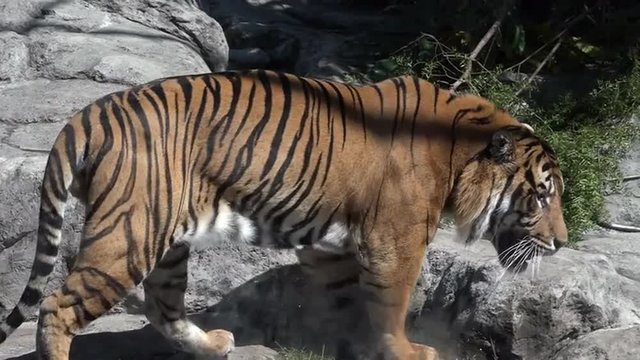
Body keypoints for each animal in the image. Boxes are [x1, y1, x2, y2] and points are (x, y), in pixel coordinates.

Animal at [0, 69, 568, 358]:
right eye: (542, 196)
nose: (562, 241)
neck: (459, 154)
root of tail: (88, 114)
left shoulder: (331, 247)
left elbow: (351, 303)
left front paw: (348, 345)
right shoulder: (396, 240)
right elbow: (390, 304)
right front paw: (406, 352)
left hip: (167, 240)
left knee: (163, 308)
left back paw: (212, 344)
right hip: (131, 232)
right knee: (56, 309)